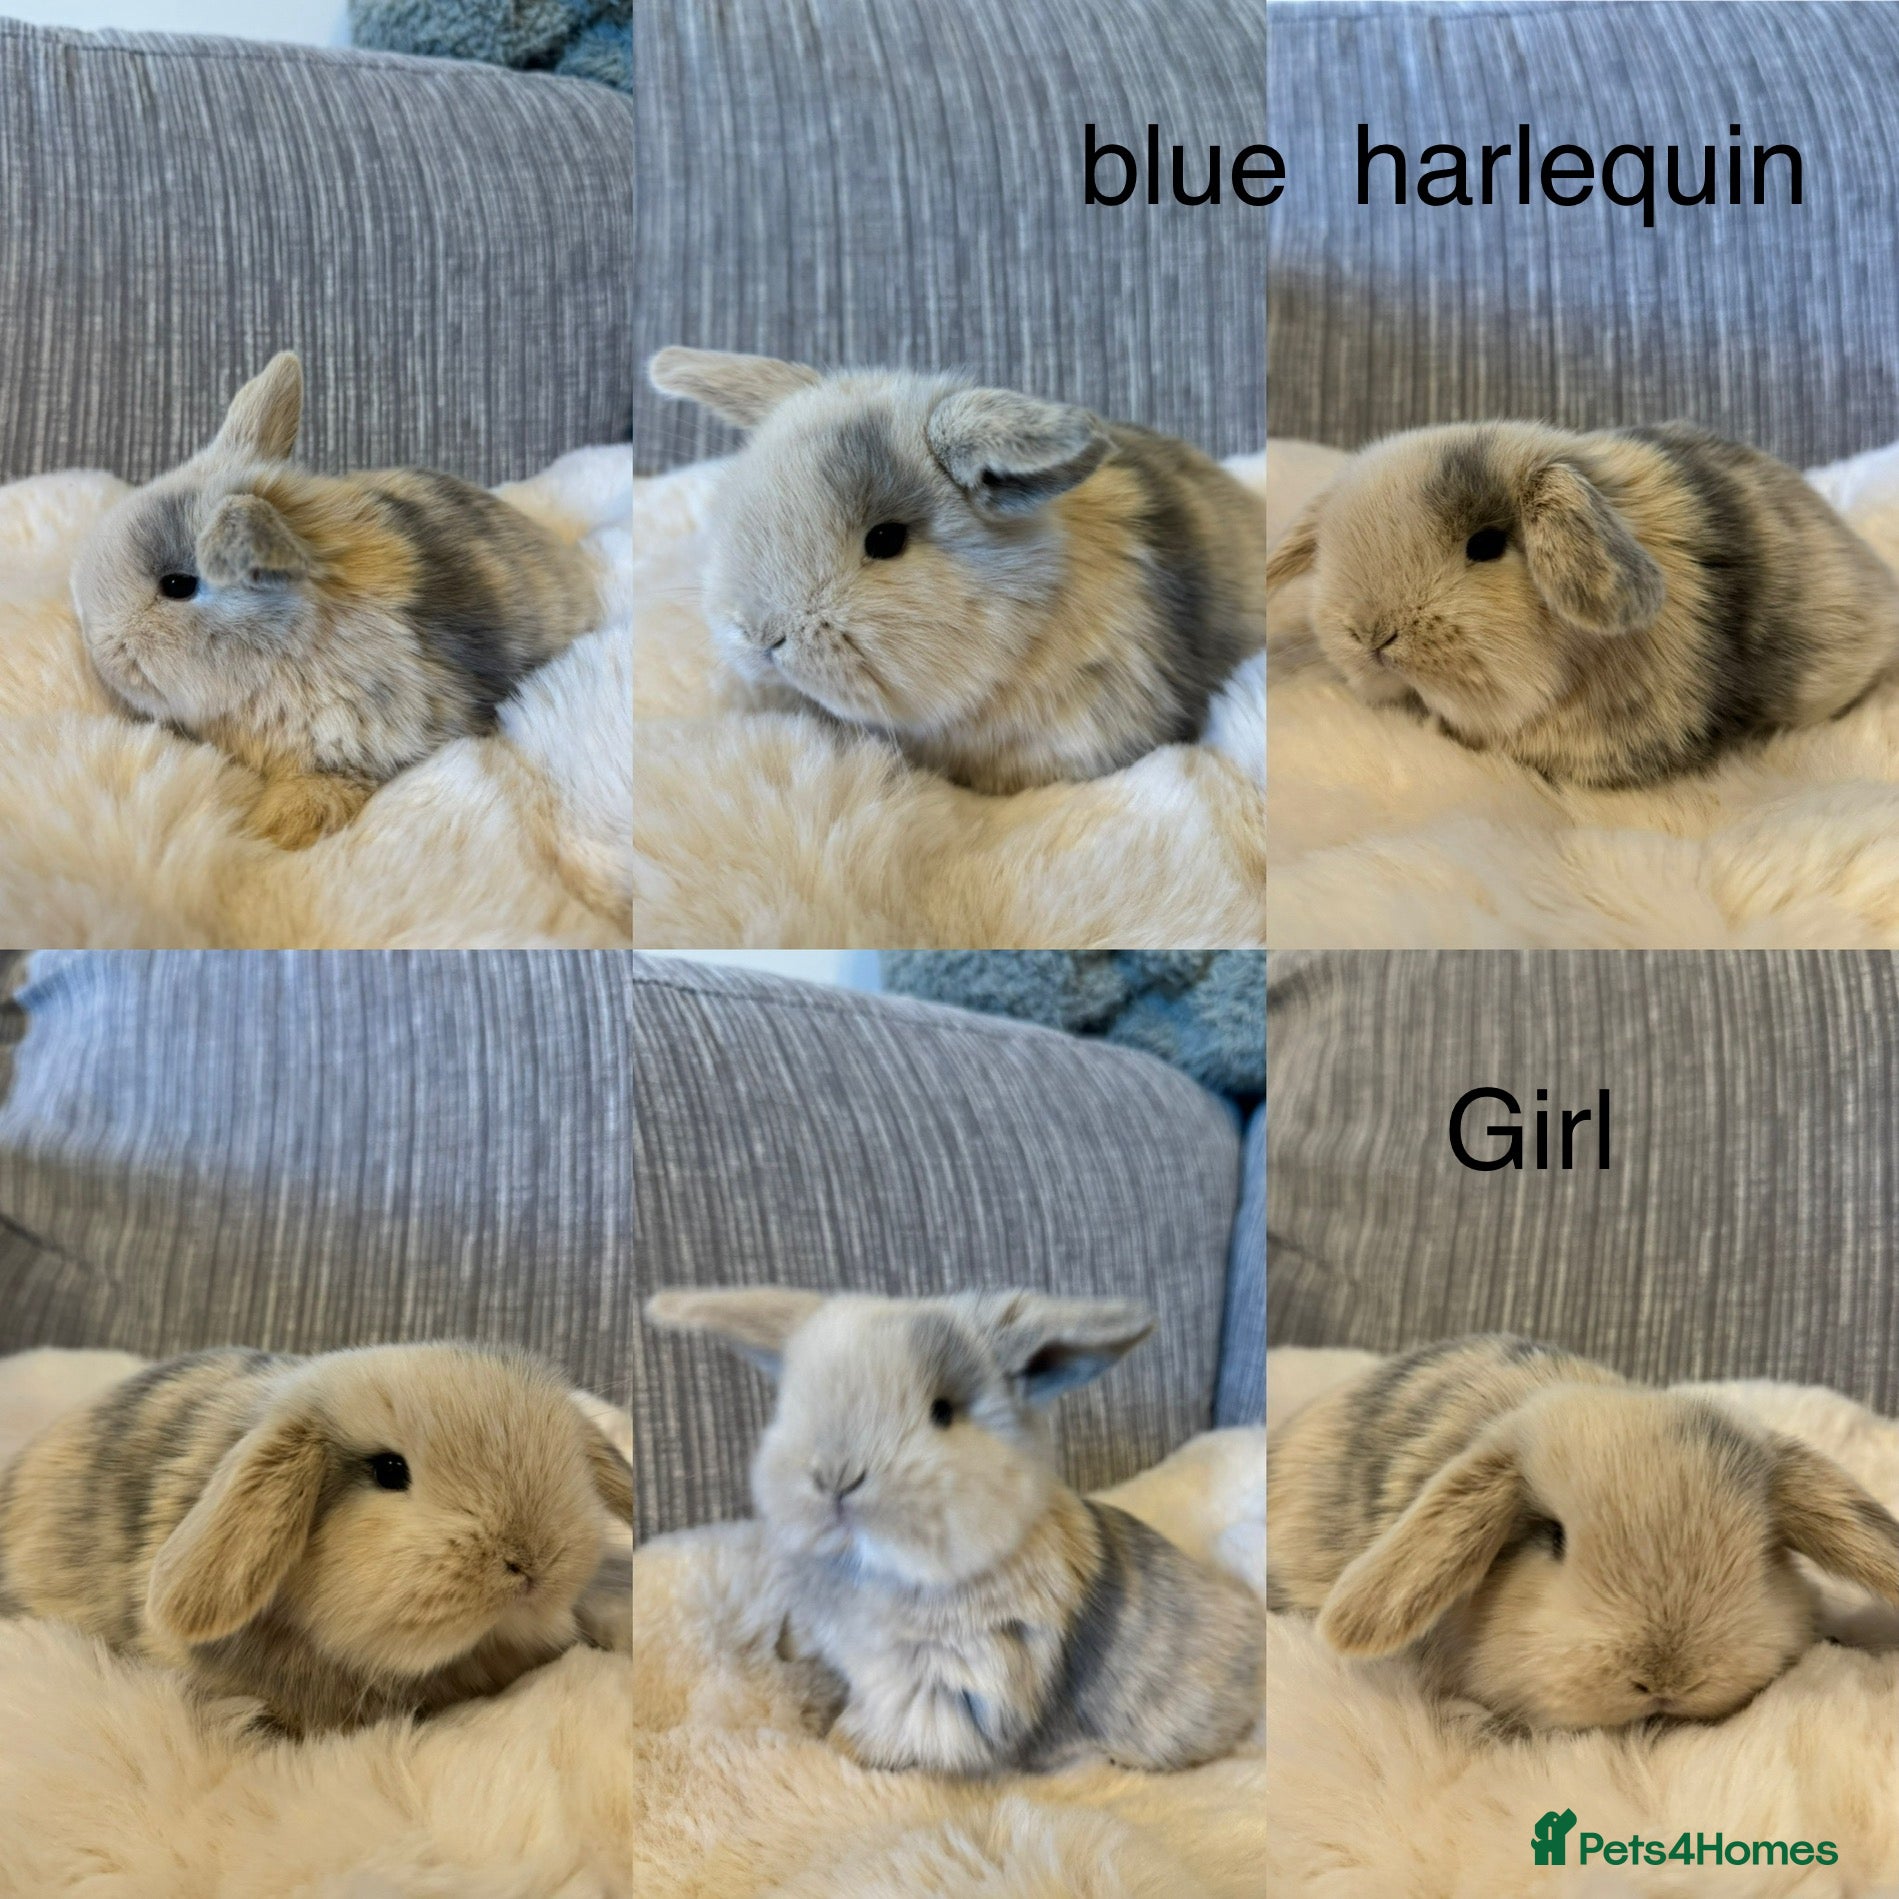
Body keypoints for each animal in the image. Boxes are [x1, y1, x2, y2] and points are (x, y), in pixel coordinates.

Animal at [71, 352, 600, 849]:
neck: (287, 651)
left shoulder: (353, 748)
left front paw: (273, 830)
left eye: (178, 585)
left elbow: (320, 787)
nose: (98, 648)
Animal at [645, 1285, 1262, 1776]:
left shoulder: (945, 1681)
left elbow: (893, 1726)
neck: (878, 1570)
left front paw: (845, 1746)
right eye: (790, 1404)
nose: (835, 1477)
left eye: (942, 1412)